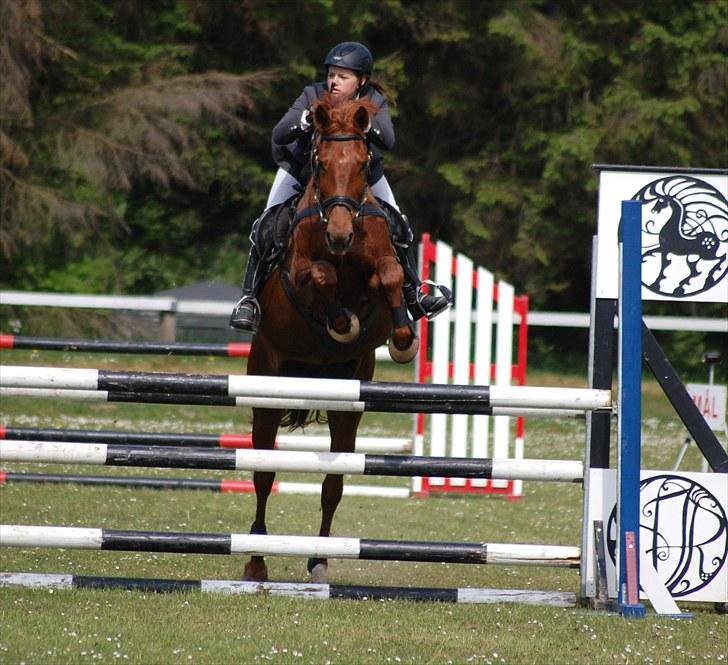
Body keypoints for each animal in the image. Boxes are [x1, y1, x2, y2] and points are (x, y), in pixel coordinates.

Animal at [243, 93, 416, 580]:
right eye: (319, 163)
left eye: (363, 162)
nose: (339, 236)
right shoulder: (300, 274)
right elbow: (320, 275)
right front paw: (341, 322)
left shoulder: (380, 264)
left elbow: (391, 274)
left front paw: (403, 337)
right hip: (266, 387)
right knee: (263, 474)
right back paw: (255, 561)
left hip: (347, 405)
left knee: (333, 483)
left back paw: (320, 558)